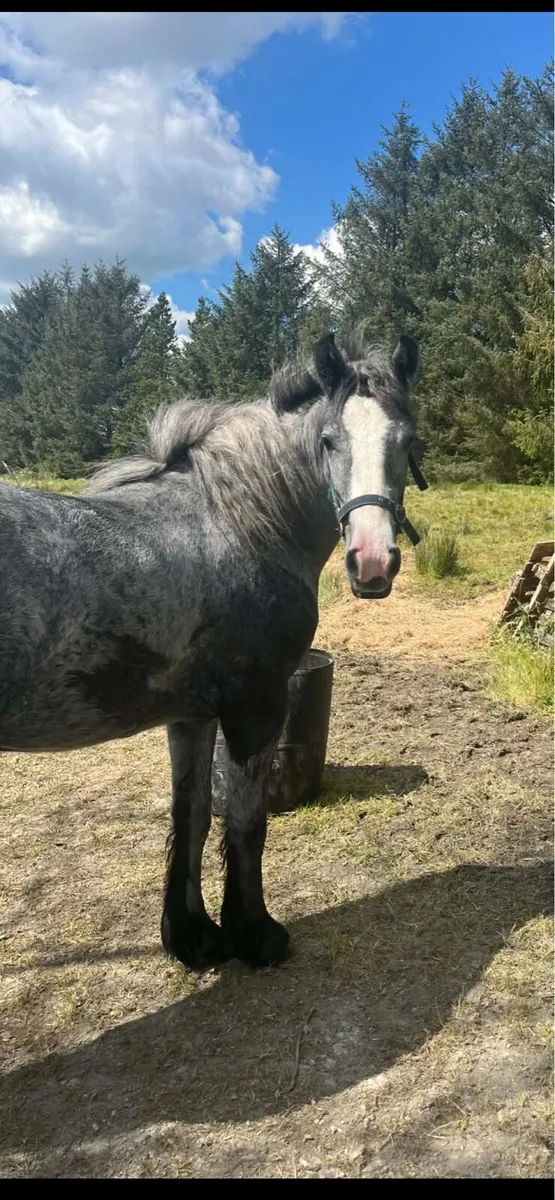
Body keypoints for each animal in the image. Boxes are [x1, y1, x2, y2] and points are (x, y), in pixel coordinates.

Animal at [0, 329, 427, 971]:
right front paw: (256, 934)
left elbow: (194, 814)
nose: (372, 562)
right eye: (328, 441)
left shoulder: (191, 716)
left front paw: (194, 936)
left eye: (406, 441)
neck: (235, 522)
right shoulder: (256, 710)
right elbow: (247, 822)